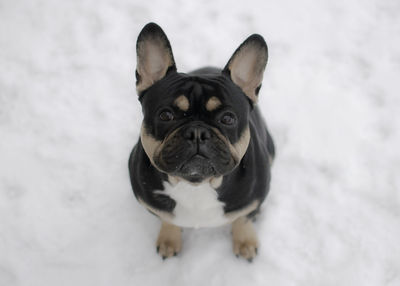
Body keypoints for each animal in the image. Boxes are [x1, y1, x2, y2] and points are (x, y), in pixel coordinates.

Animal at [128, 22, 276, 262]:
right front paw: (169, 240)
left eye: (228, 119)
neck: (196, 185)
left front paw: (245, 242)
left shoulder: (253, 200)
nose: (197, 132)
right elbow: (167, 218)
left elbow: (243, 218)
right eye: (165, 115)